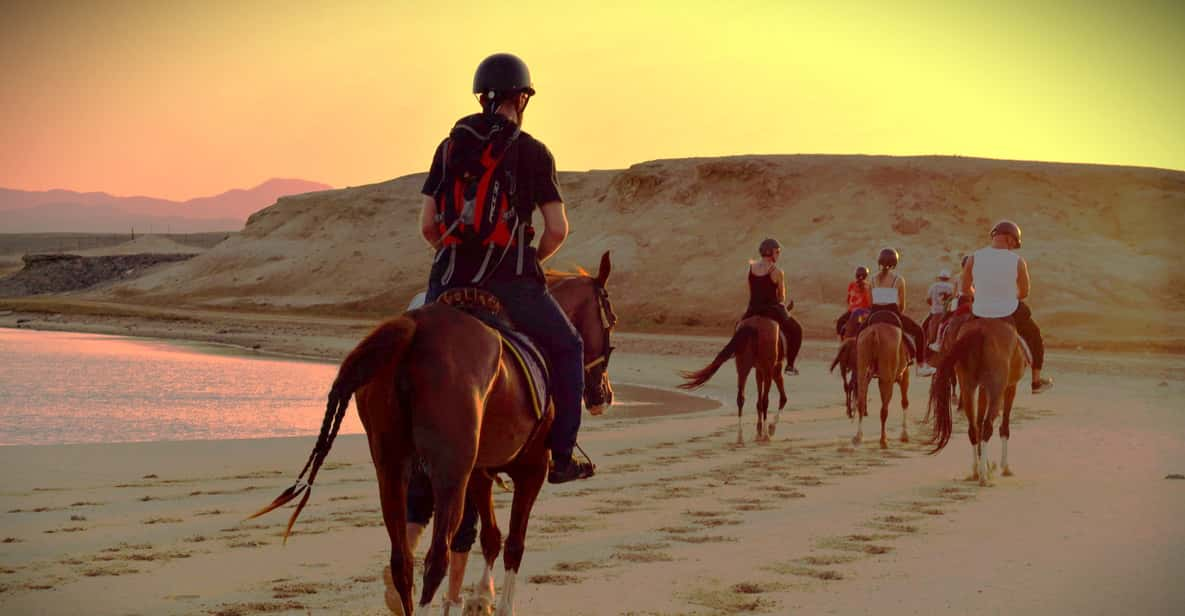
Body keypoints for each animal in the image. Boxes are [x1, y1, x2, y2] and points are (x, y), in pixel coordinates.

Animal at [250, 252, 620, 611]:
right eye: (611, 320)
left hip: (391, 467)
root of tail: (415, 328)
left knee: (403, 560)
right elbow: (513, 544)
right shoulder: (532, 470)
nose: (604, 395)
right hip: (449, 476)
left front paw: (481, 598)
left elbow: (490, 537)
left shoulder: (479, 474)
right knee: (436, 559)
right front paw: (498, 604)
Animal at [919, 317, 1023, 485]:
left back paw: (976, 471)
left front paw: (986, 464)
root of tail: (980, 332)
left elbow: (979, 420)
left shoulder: (982, 388)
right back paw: (983, 477)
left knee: (973, 428)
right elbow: (1004, 427)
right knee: (987, 427)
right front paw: (1004, 467)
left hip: (968, 387)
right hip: (996, 390)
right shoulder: (1010, 387)